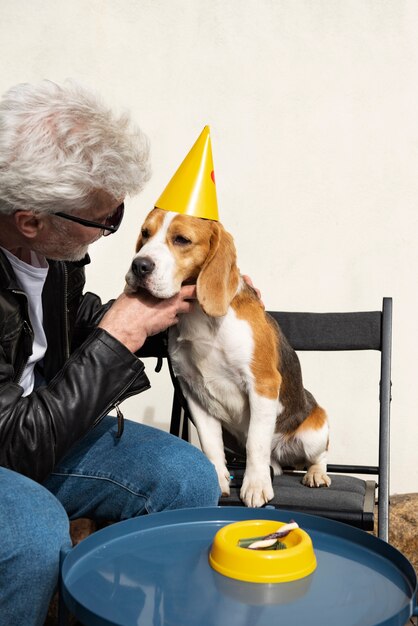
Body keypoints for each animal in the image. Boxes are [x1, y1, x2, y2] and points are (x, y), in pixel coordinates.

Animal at [124, 208, 330, 508]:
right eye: (145, 233)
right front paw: (219, 480)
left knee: (319, 456)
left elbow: (256, 441)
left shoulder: (263, 384)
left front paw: (256, 486)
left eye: (182, 239)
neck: (198, 316)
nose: (139, 266)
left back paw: (316, 474)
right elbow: (210, 444)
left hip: (315, 431)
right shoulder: (194, 393)